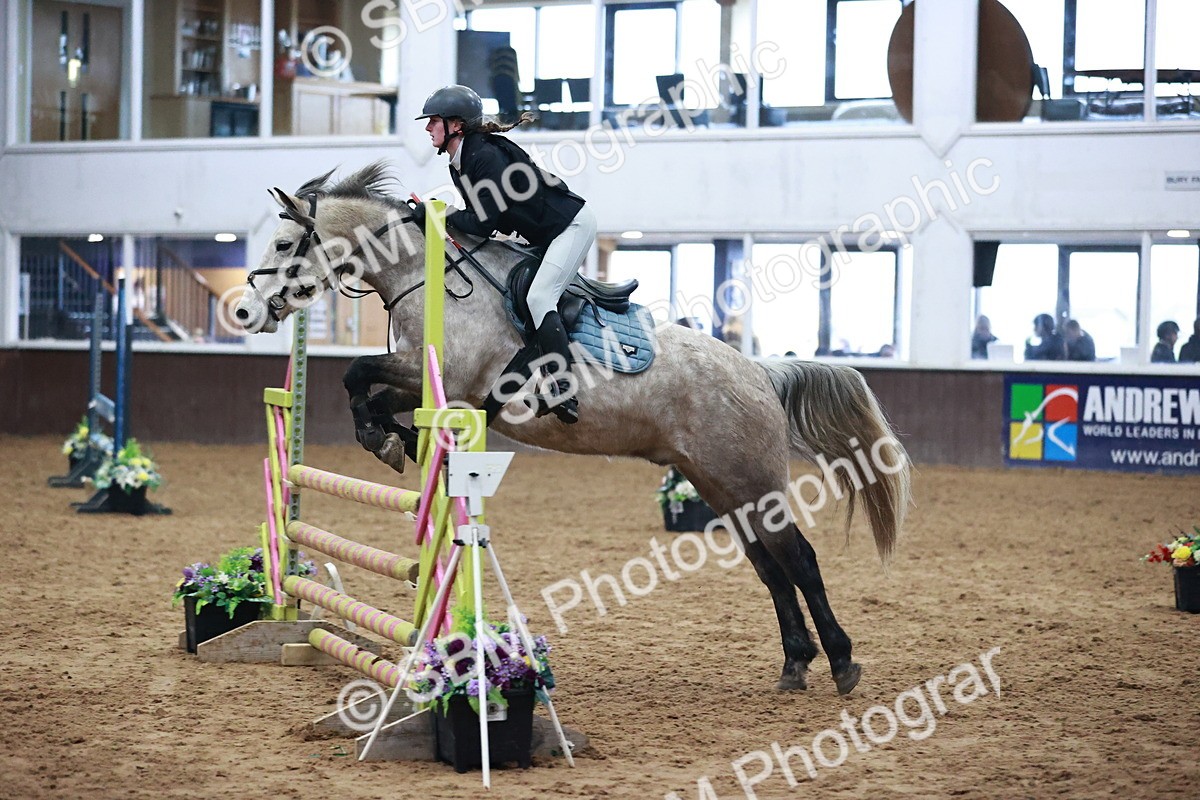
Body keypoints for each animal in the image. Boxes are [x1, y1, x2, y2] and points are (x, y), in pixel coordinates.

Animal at [234, 162, 911, 696]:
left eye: (288, 245)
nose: (244, 310)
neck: (430, 276)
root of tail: (760, 373)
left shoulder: (448, 378)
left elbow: (357, 372)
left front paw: (388, 440)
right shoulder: (432, 383)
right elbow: (364, 388)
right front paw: (391, 440)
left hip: (750, 481)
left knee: (799, 559)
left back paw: (842, 663)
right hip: (719, 484)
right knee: (771, 566)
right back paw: (795, 665)